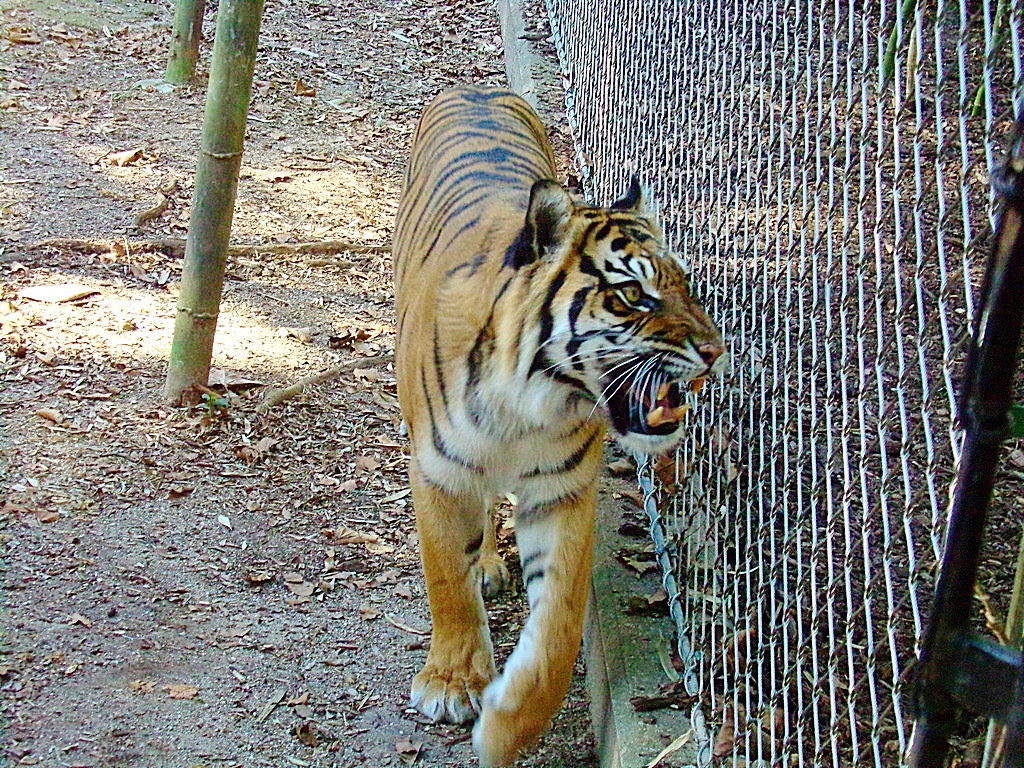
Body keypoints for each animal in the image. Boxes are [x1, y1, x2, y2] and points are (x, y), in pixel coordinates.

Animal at [391, 85, 727, 766]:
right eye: (634, 296)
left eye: (684, 285)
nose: (715, 350)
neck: (527, 403)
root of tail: (476, 85)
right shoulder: (438, 472)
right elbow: (445, 577)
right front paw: (452, 682)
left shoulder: (562, 491)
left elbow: (561, 625)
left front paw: (506, 726)